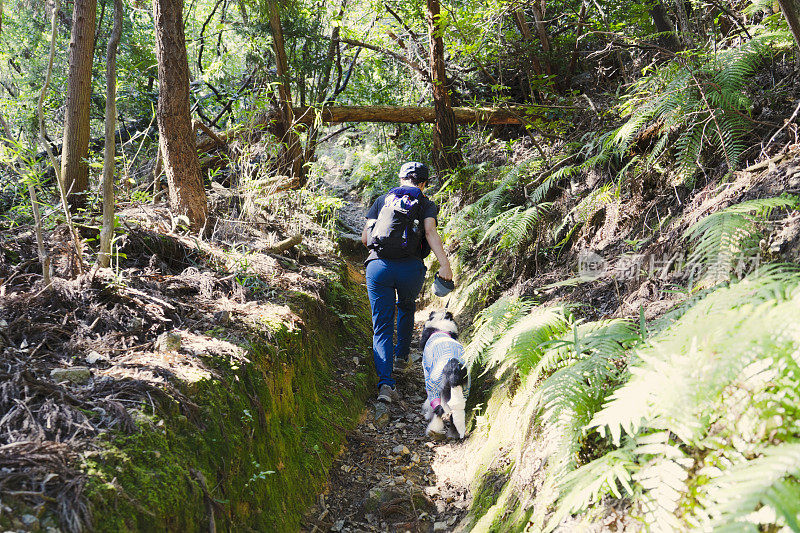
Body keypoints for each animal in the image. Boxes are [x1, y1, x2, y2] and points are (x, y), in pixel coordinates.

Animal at [418, 310, 468, 438]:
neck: (440, 329)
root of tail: (452, 364)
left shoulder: (427, 374)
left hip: (435, 385)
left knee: (438, 410)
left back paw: (432, 430)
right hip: (464, 389)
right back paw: (454, 434)